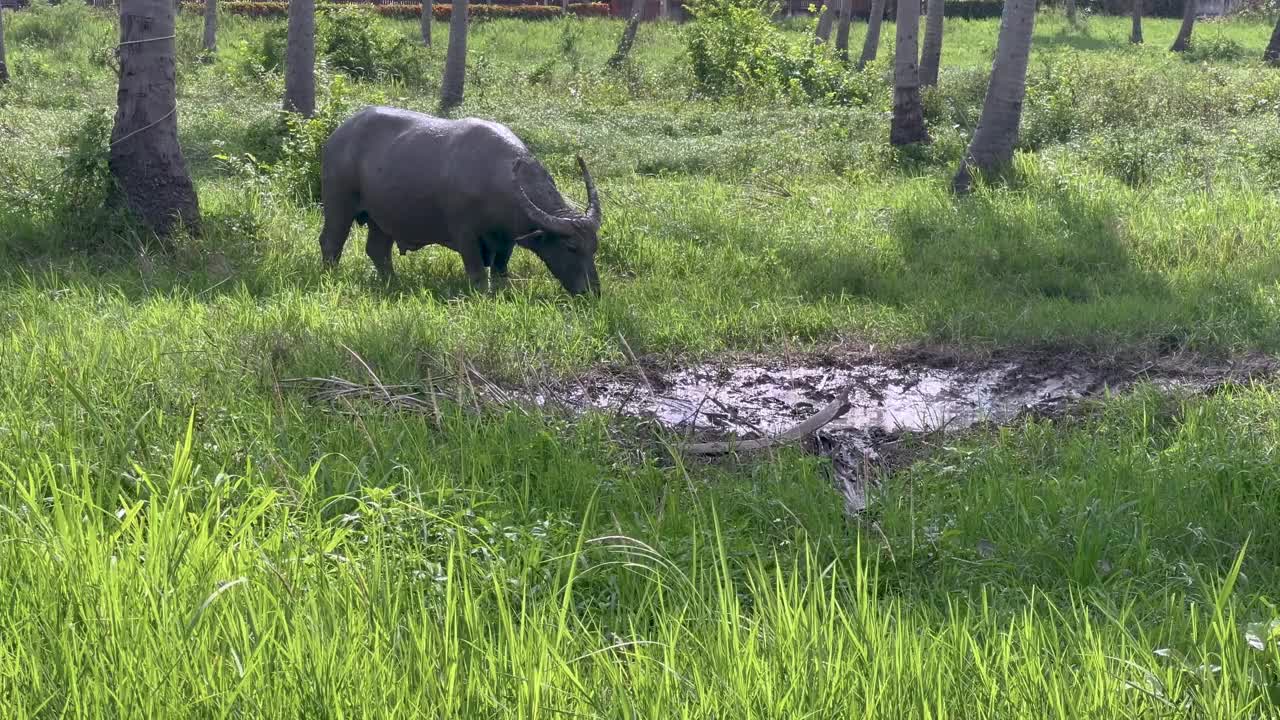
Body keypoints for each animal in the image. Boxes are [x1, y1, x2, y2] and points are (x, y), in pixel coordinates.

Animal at [317, 105, 601, 294]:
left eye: (593, 248)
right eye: (570, 247)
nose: (592, 292)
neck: (494, 176)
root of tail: (338, 135)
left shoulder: (507, 240)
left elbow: (500, 271)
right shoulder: (466, 236)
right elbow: (477, 274)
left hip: (382, 219)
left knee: (377, 251)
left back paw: (393, 283)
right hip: (338, 205)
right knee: (331, 243)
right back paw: (331, 277)